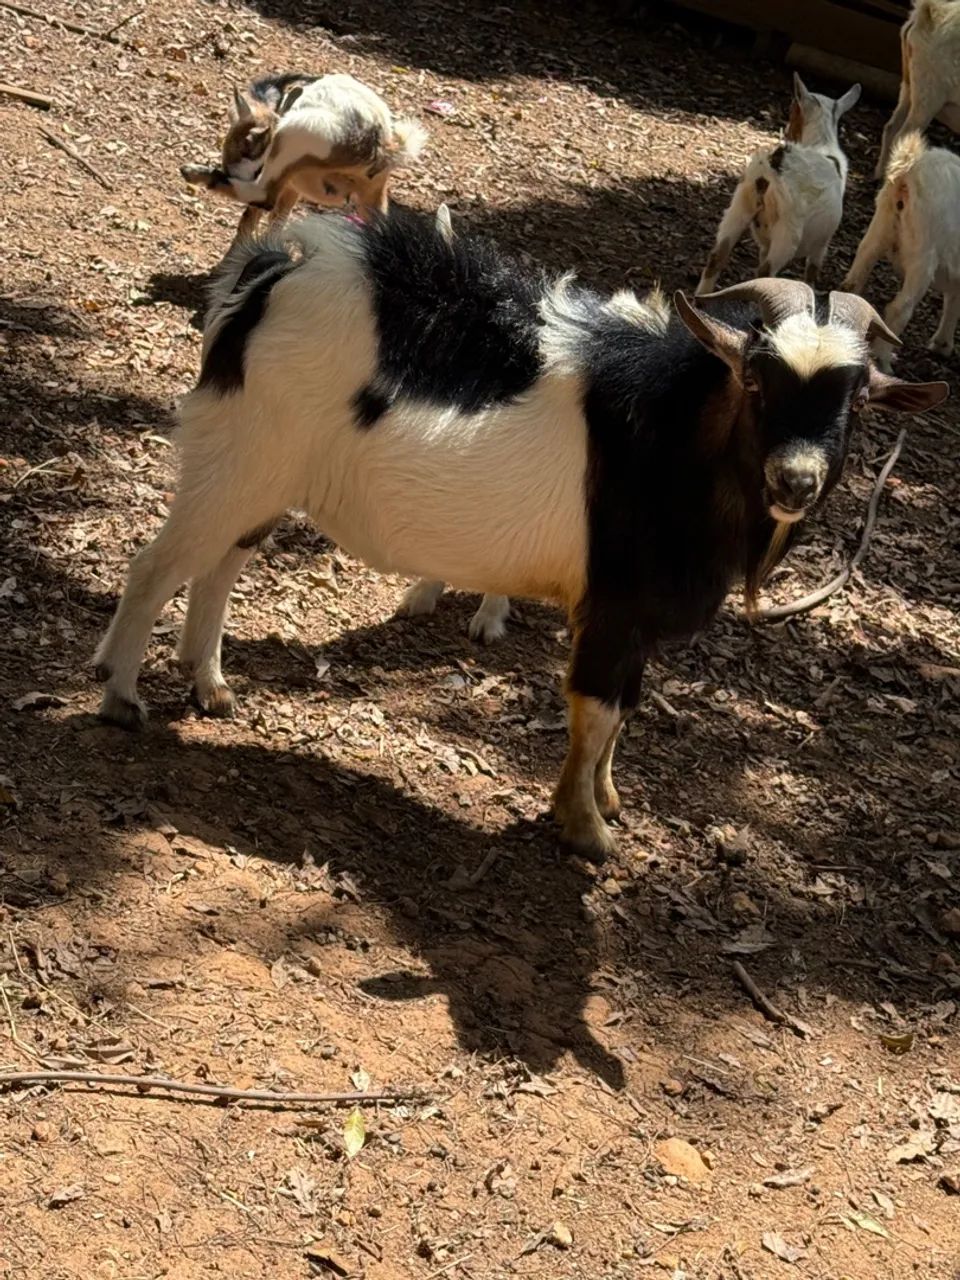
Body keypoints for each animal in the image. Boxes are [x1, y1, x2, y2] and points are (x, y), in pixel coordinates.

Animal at [93, 210, 946, 860]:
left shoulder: (636, 622)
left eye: (857, 396)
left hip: (263, 480)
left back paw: (209, 687)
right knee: (156, 565)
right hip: (237, 462)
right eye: (758, 381)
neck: (670, 435)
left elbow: (626, 708)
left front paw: (606, 796)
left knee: (219, 567)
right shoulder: (613, 606)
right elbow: (596, 709)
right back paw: (123, 698)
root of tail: (272, 275)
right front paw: (585, 828)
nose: (796, 479)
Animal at [181, 72, 427, 236]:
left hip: (294, 134)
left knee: (263, 195)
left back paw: (193, 172)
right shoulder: (291, 187)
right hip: (372, 198)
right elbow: (272, 220)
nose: (230, 171)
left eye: (247, 147)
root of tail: (382, 143)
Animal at [697, 74, 860, 294]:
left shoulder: (765, 242)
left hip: (740, 206)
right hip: (787, 230)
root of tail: (771, 166)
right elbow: (811, 273)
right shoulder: (822, 244)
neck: (821, 144)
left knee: (717, 256)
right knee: (766, 271)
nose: (788, 132)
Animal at [844, 132, 960, 366]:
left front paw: (942, 345)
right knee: (900, 308)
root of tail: (909, 172)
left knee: (853, 281)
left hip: (880, 227)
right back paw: (883, 358)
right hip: (923, 253)